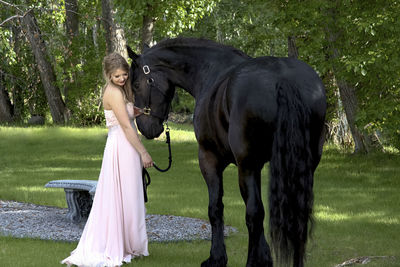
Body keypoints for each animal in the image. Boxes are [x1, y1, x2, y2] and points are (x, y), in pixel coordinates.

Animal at [126, 38, 326, 267]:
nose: (145, 128)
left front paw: (217, 258)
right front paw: (265, 257)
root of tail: (283, 79)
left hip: (246, 165)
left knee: (254, 213)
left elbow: (216, 209)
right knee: (297, 215)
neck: (210, 70)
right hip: (303, 165)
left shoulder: (210, 159)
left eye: (136, 85)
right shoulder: (258, 166)